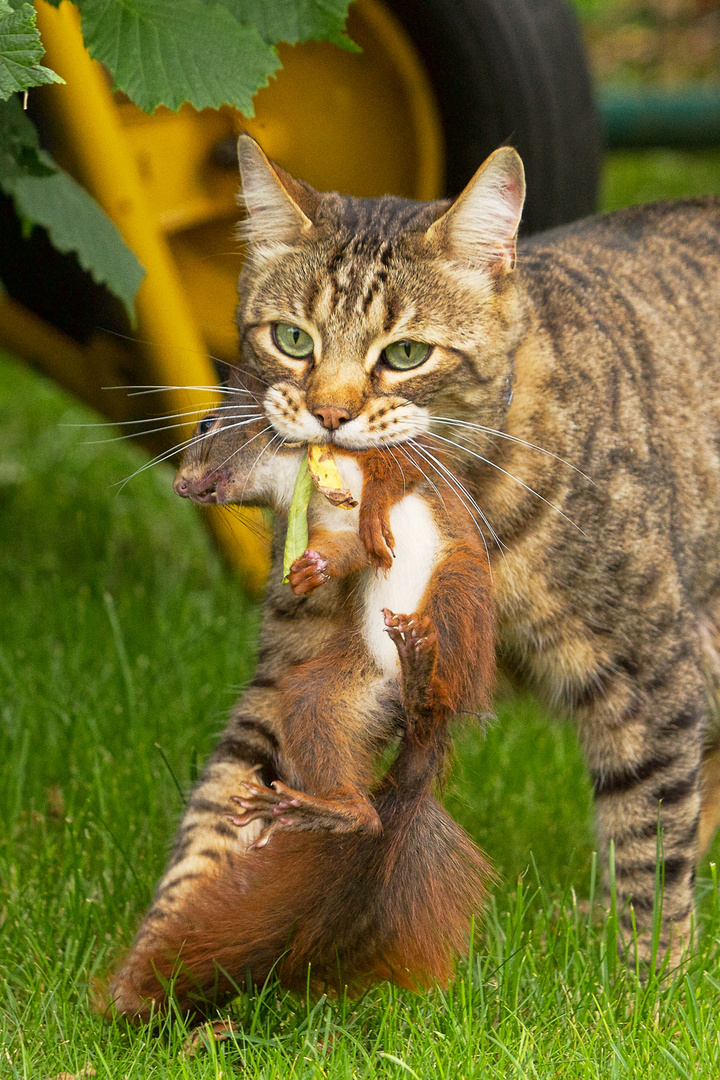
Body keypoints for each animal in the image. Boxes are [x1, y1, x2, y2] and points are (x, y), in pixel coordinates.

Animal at [108, 388, 496, 1019]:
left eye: (207, 424)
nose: (182, 486)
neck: (303, 475)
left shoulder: (400, 458)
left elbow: (394, 479)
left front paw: (372, 512)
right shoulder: (325, 527)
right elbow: (343, 551)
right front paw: (310, 570)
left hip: (457, 600)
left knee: (444, 678)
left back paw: (425, 676)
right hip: (335, 695)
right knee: (357, 794)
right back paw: (329, 808)